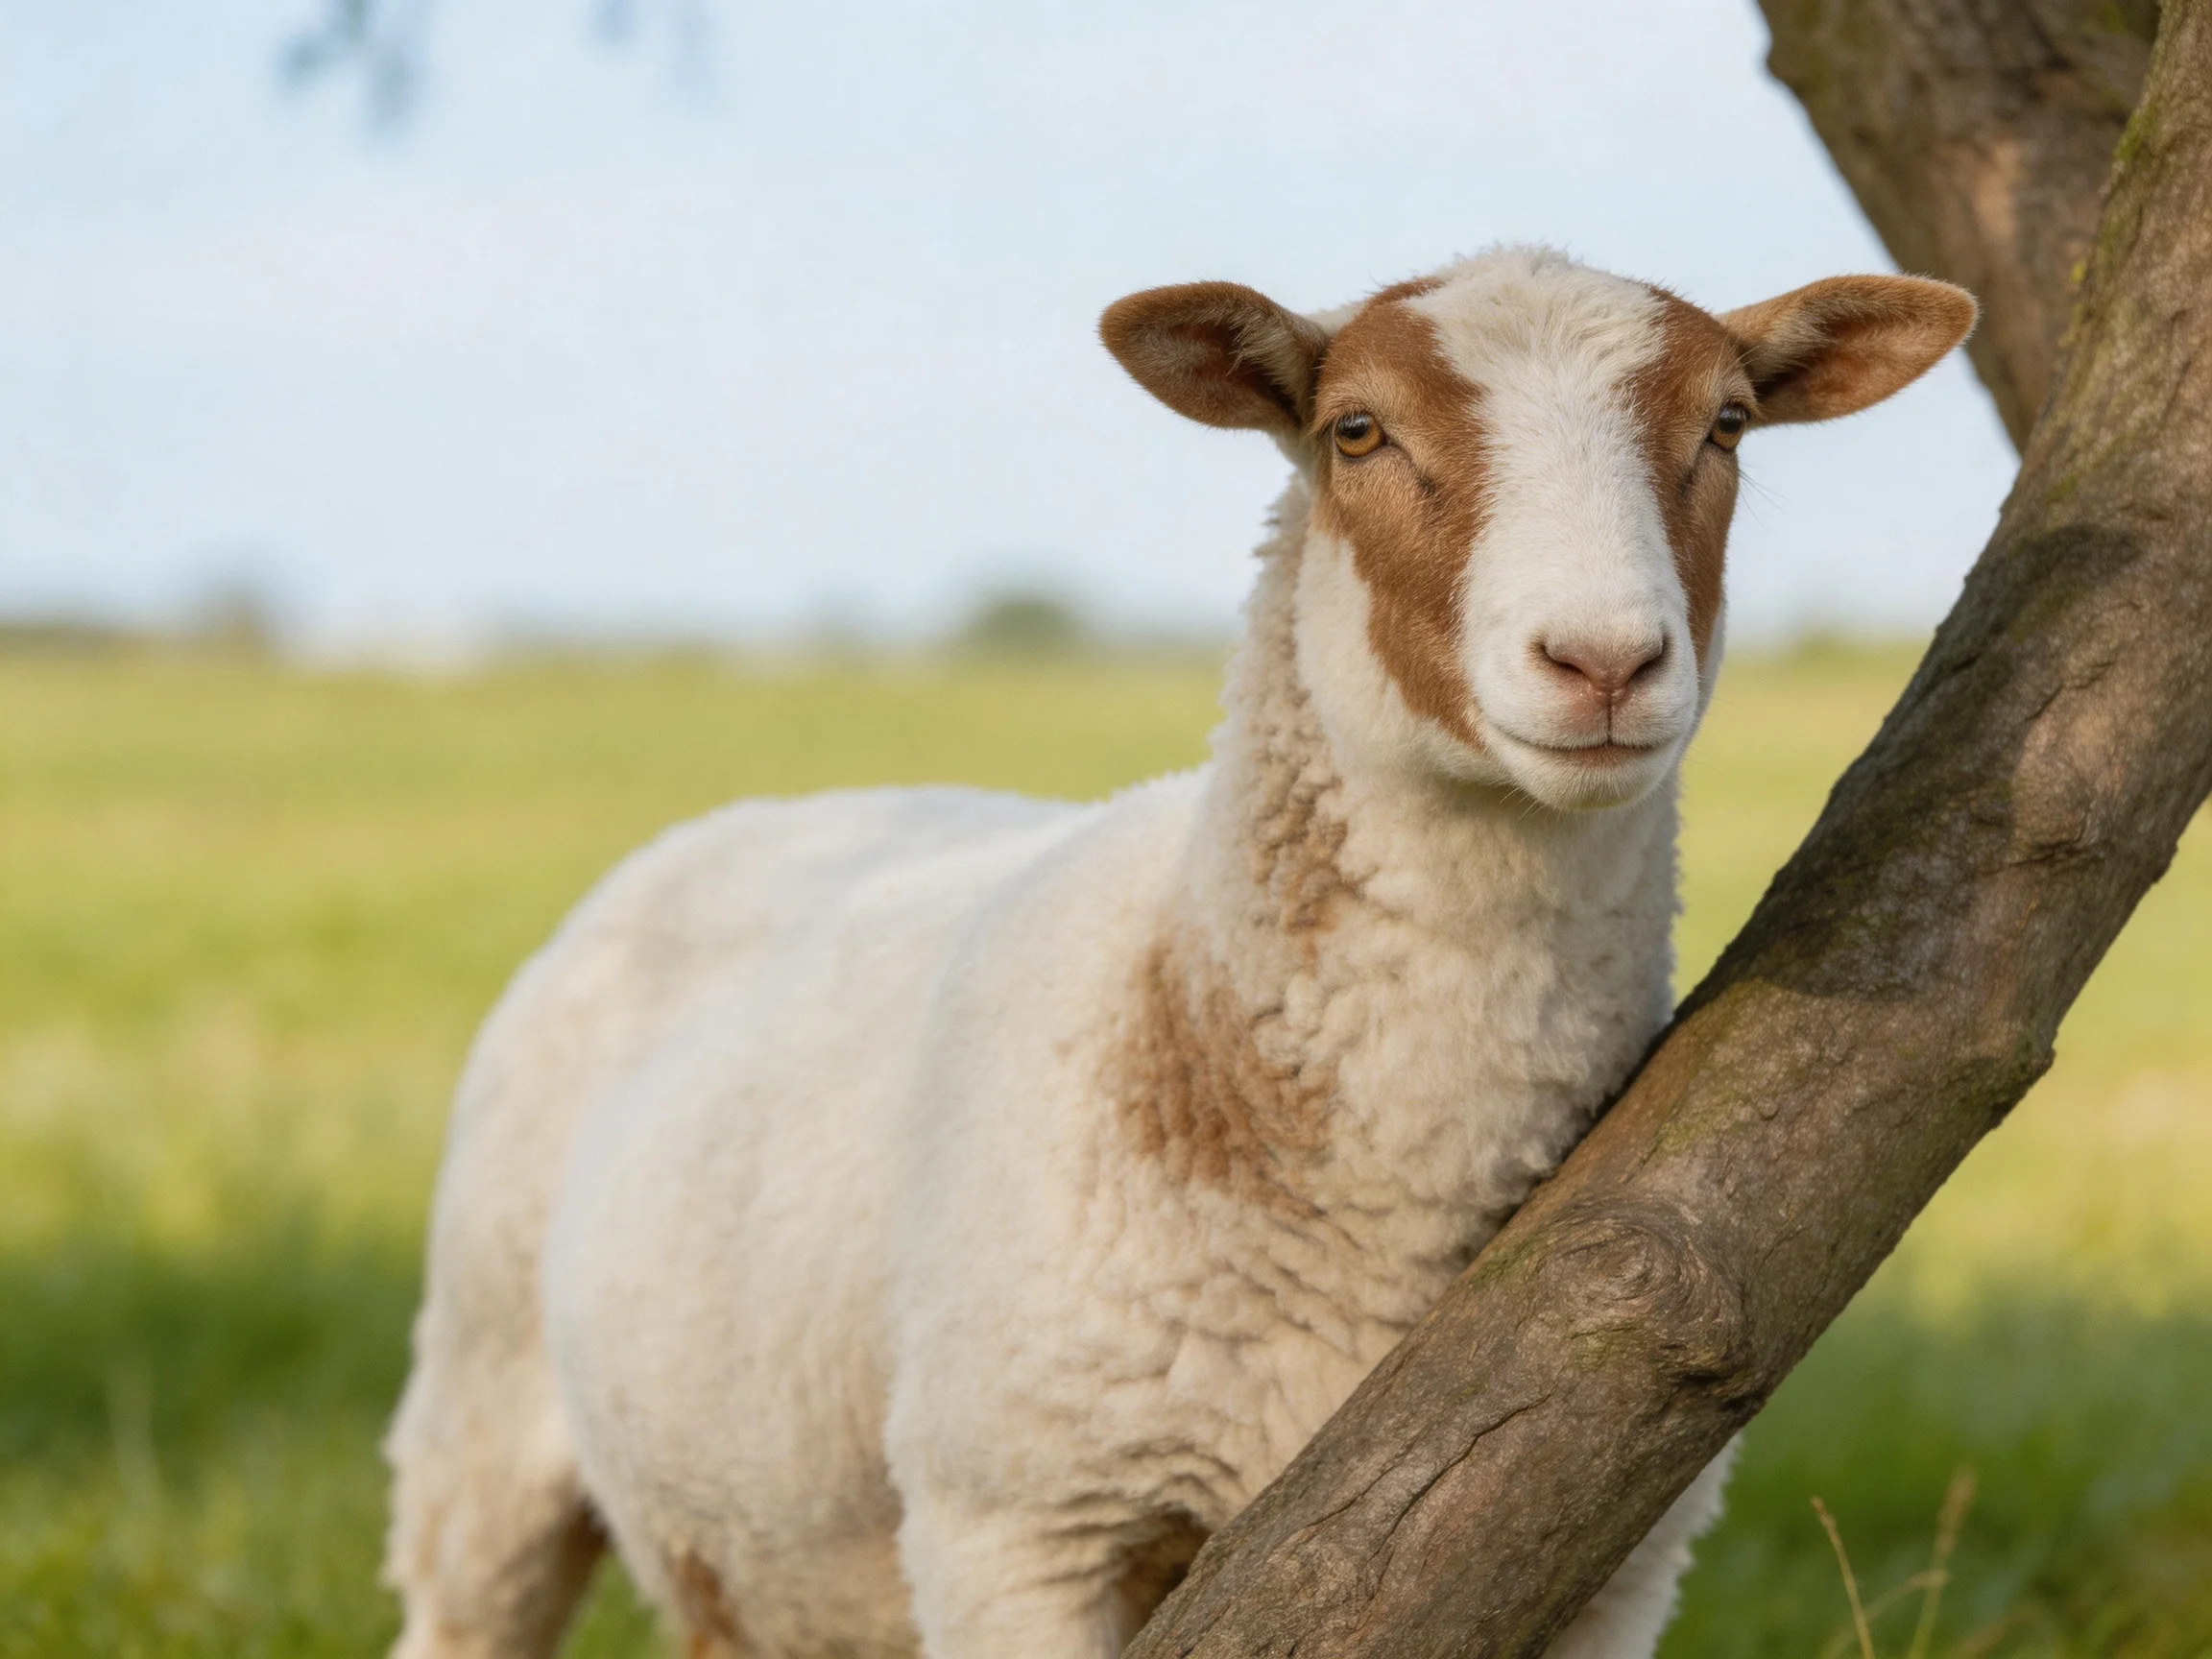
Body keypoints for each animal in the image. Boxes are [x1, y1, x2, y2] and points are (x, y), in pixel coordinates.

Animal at [382, 244, 1974, 1659]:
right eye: (1355, 430)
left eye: (1727, 425)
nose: (1603, 663)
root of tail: (763, 812)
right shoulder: (1018, 1526)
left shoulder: (1613, 1554)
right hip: (482, 1394)